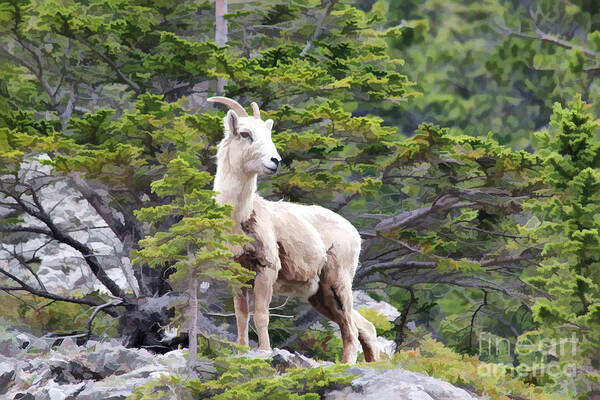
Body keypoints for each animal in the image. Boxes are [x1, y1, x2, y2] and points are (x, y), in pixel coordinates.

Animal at [209, 97, 378, 362]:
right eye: (245, 133)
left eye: (268, 134)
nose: (275, 161)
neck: (239, 219)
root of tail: (354, 233)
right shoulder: (237, 275)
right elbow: (241, 316)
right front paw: (242, 350)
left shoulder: (266, 270)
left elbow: (261, 316)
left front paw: (264, 351)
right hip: (321, 295)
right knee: (363, 327)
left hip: (338, 283)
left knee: (350, 329)